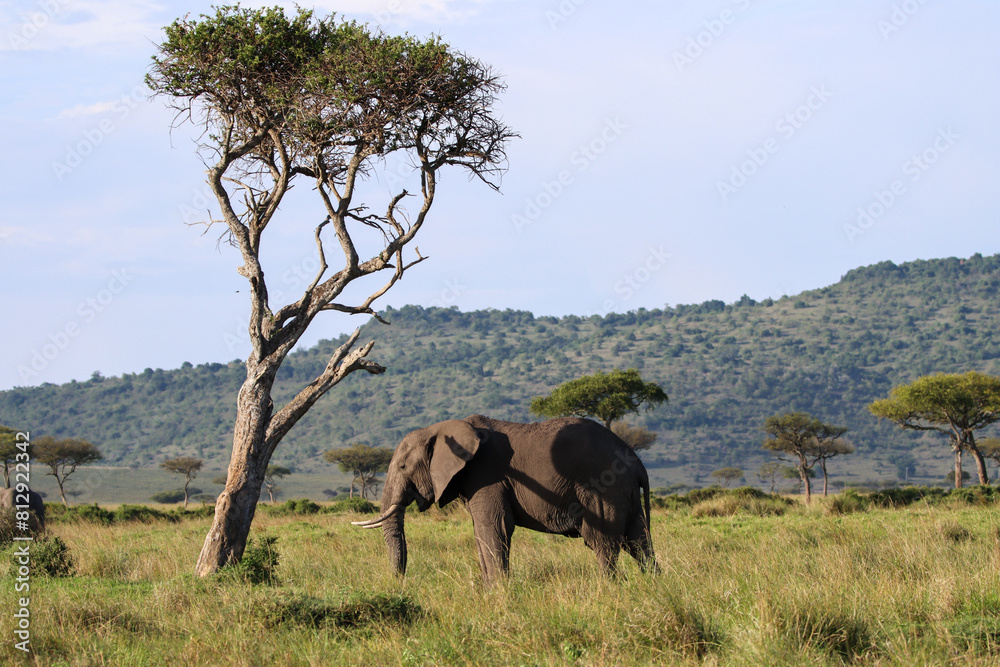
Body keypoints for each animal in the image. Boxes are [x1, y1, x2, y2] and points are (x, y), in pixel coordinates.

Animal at [353, 415, 656, 584]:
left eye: (403, 467)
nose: (399, 584)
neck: (439, 429)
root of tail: (636, 461)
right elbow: (480, 532)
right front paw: (489, 590)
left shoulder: (486, 475)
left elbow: (493, 527)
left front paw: (498, 592)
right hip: (624, 492)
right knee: (638, 541)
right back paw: (653, 585)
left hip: (604, 490)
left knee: (602, 543)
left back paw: (609, 589)